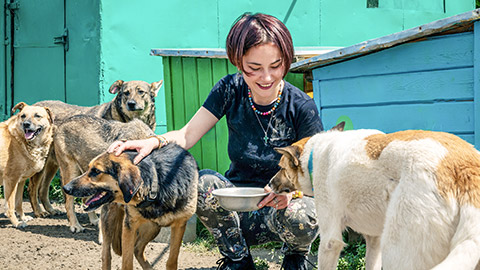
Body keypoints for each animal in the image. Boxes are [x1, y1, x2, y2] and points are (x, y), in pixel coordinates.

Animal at [28, 78, 163, 232]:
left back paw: (91, 220)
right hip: (65, 171)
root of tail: (62, 123)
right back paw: (73, 225)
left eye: (141, 92)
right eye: (126, 93)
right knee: (62, 199)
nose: (131, 104)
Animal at [62, 143, 198, 270]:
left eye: (96, 171)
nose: (65, 188)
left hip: (152, 227)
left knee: (137, 249)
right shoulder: (129, 225)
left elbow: (172, 261)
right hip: (110, 220)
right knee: (107, 255)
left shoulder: (179, 225)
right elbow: (127, 263)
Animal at [268, 123, 480, 270]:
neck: (315, 154)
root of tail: (464, 166)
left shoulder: (330, 241)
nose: (269, 184)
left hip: (397, 252)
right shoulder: (374, 239)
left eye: (281, 167)